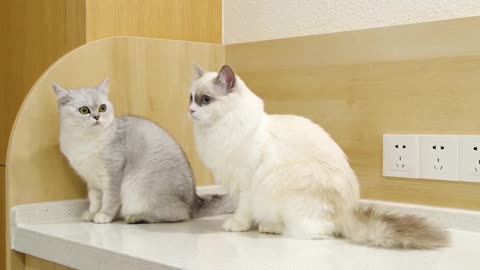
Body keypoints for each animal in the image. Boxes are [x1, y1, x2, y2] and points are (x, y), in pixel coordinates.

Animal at [53, 77, 232, 224]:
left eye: (102, 108)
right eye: (84, 110)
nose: (97, 117)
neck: (86, 141)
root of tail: (194, 203)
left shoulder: (112, 173)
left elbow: (109, 199)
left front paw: (104, 215)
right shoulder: (91, 180)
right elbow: (95, 200)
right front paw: (91, 213)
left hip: (141, 190)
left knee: (178, 215)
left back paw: (137, 217)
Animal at [188, 63, 450, 249]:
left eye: (206, 100)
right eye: (190, 98)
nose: (190, 111)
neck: (221, 129)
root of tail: (348, 211)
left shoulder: (246, 184)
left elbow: (242, 210)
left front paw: (236, 225)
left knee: (316, 231)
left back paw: (269, 227)